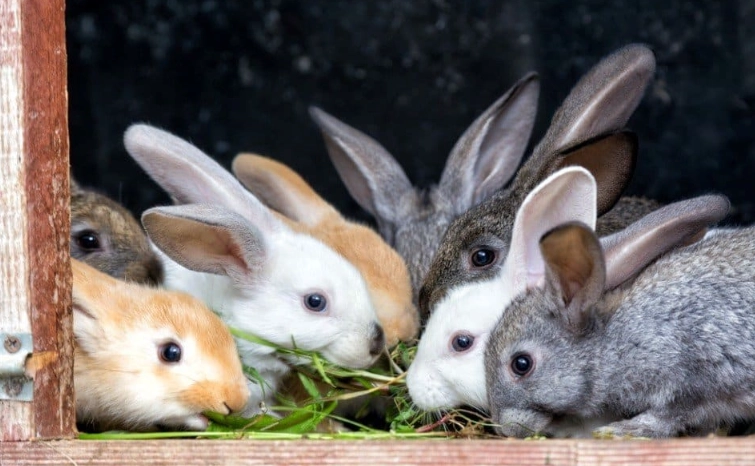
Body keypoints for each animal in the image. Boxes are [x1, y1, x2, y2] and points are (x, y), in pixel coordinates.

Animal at [483, 195, 752, 439]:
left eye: (521, 364)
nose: (504, 429)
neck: (612, 343)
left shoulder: (689, 379)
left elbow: (668, 416)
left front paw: (621, 430)